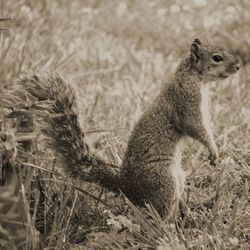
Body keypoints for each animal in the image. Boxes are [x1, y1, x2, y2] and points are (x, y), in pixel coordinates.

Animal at [9, 38, 240, 218]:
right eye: (217, 57)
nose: (238, 67)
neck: (195, 77)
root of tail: (125, 185)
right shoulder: (186, 101)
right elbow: (195, 128)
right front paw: (213, 149)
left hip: (178, 178)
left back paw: (189, 213)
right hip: (163, 181)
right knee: (159, 214)